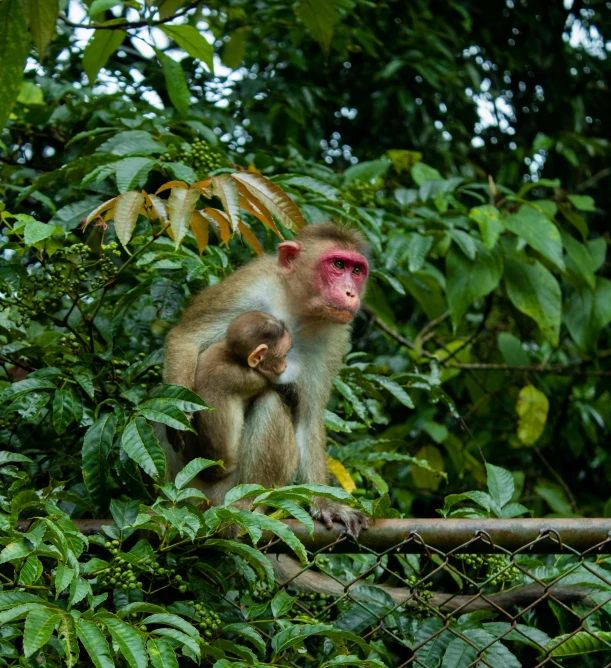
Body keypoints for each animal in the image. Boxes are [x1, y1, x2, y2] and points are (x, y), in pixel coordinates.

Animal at [176, 310, 292, 490]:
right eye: (284, 355)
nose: (285, 365)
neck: (234, 357)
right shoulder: (249, 378)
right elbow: (267, 385)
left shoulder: (213, 349)